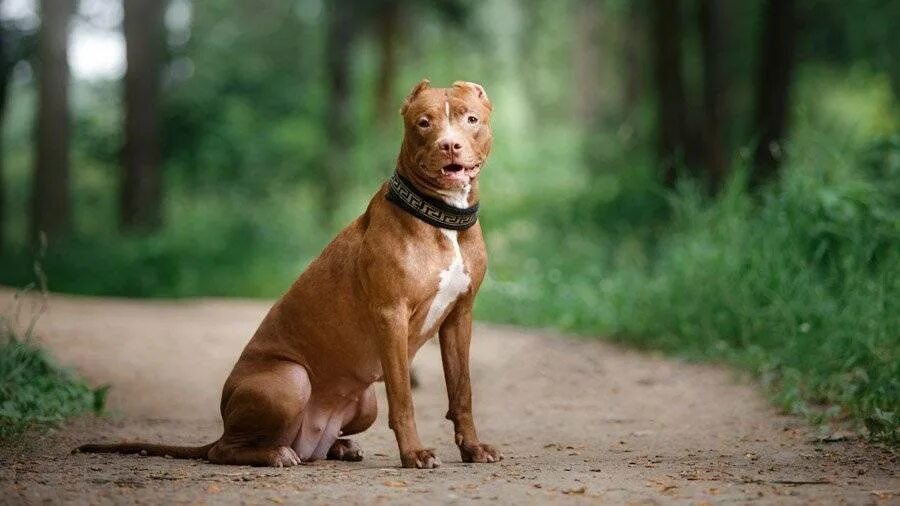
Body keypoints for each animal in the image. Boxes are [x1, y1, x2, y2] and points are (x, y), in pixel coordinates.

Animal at [75, 80, 500, 470]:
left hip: (364, 403)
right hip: (291, 380)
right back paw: (275, 454)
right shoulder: (390, 315)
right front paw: (414, 453)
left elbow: (462, 391)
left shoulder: (459, 317)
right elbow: (403, 398)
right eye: (424, 123)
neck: (442, 219)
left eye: (471, 120)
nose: (449, 145)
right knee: (226, 450)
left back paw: (338, 447)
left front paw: (473, 448)